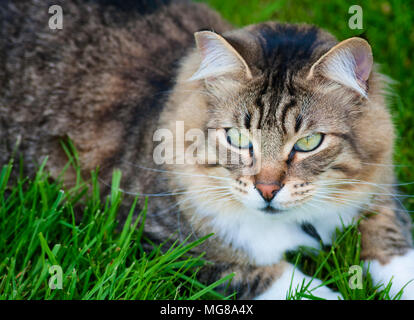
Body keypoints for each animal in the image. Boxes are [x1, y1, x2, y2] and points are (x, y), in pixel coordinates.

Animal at [0, 0, 414, 300]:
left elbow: (395, 246)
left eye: (308, 143)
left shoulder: (381, 192)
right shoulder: (168, 243)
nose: (267, 190)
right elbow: (279, 279)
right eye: (237, 139)